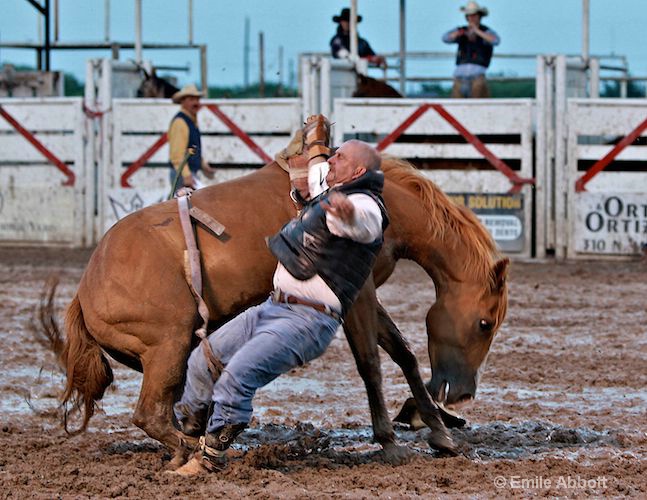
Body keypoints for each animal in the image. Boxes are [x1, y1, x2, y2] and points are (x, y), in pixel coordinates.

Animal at [38, 156, 508, 464]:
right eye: (484, 323)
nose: (463, 392)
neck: (382, 197)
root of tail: (85, 290)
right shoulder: (360, 291)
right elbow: (371, 363)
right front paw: (390, 440)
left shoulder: (366, 293)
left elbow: (404, 353)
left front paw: (440, 432)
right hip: (167, 344)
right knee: (149, 413)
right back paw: (195, 449)